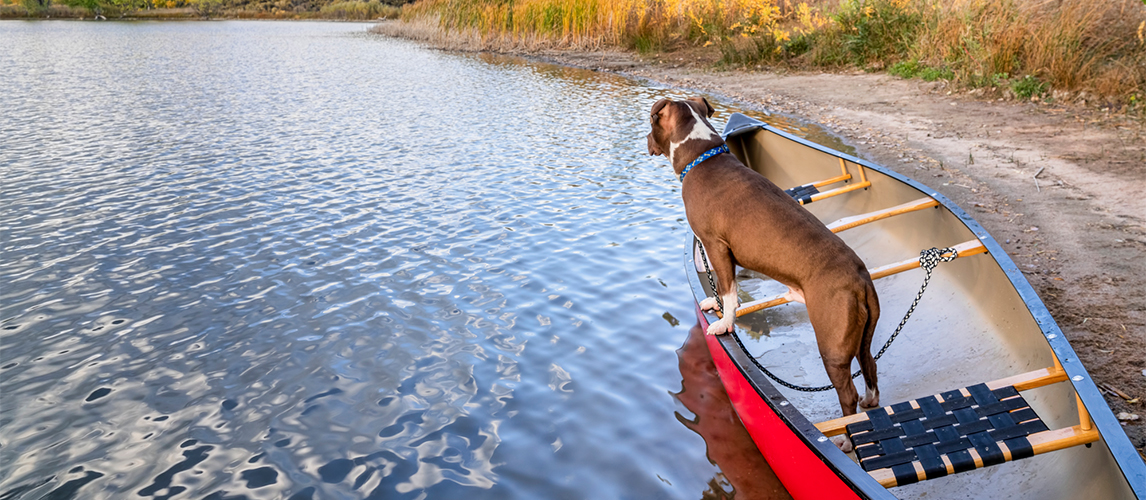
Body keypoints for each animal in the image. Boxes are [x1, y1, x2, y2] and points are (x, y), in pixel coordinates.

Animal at [650, 97, 880, 449]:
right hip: (862, 339)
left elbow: (728, 291)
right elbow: (722, 289)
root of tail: (861, 278)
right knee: (870, 368)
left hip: (833, 348)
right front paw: (713, 305)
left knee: (847, 393)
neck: (703, 156)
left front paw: (724, 324)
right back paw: (869, 404)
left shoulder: (716, 247)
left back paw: (844, 439)